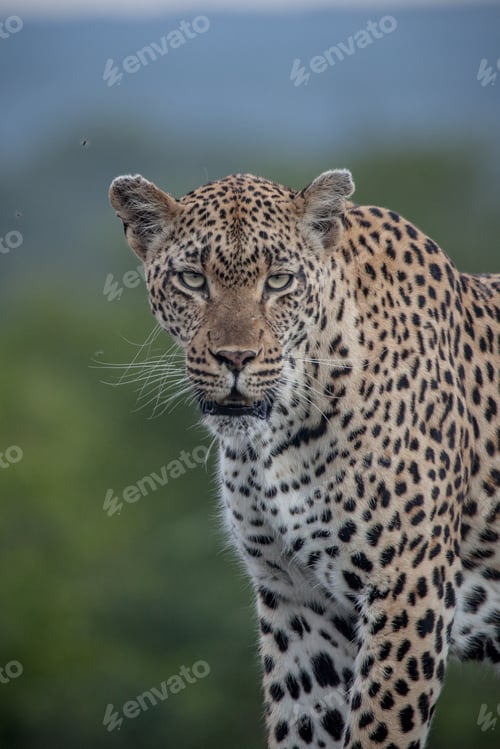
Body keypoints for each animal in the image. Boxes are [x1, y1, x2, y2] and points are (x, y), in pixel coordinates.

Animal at [109, 168, 500, 749]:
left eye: (279, 281)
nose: (236, 358)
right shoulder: (300, 600)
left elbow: (379, 729)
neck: (276, 437)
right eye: (193, 280)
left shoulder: (409, 590)